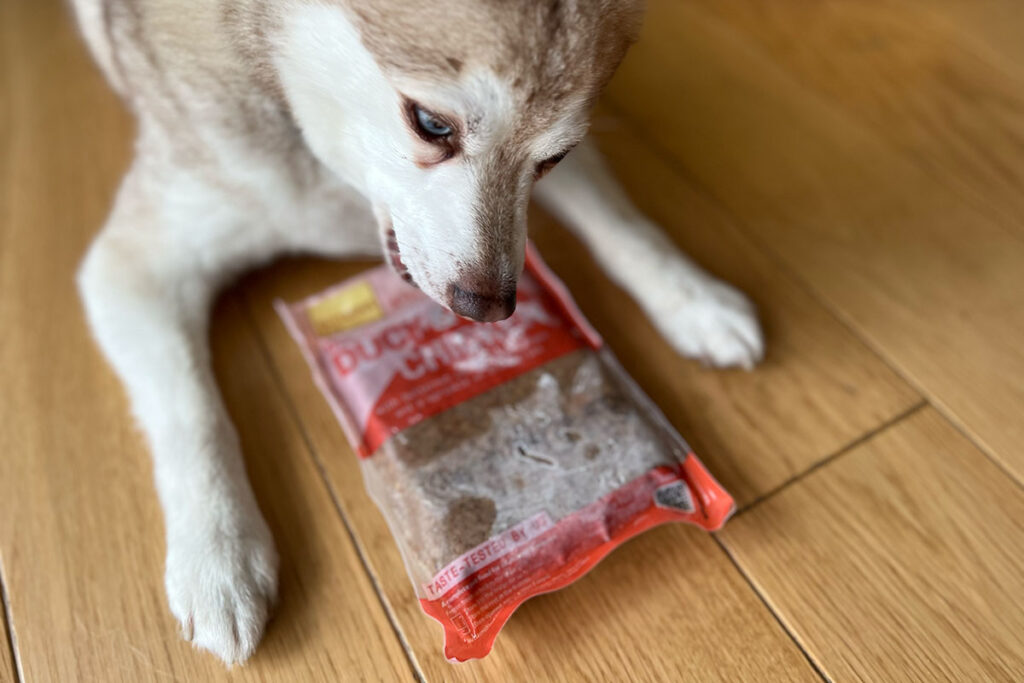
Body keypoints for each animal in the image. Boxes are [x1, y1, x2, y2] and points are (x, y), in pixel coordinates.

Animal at [70, 0, 761, 663]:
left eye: (553, 158)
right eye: (431, 124)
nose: (488, 307)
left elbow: (622, 224)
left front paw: (691, 295)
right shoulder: (132, 268)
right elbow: (193, 412)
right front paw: (218, 553)